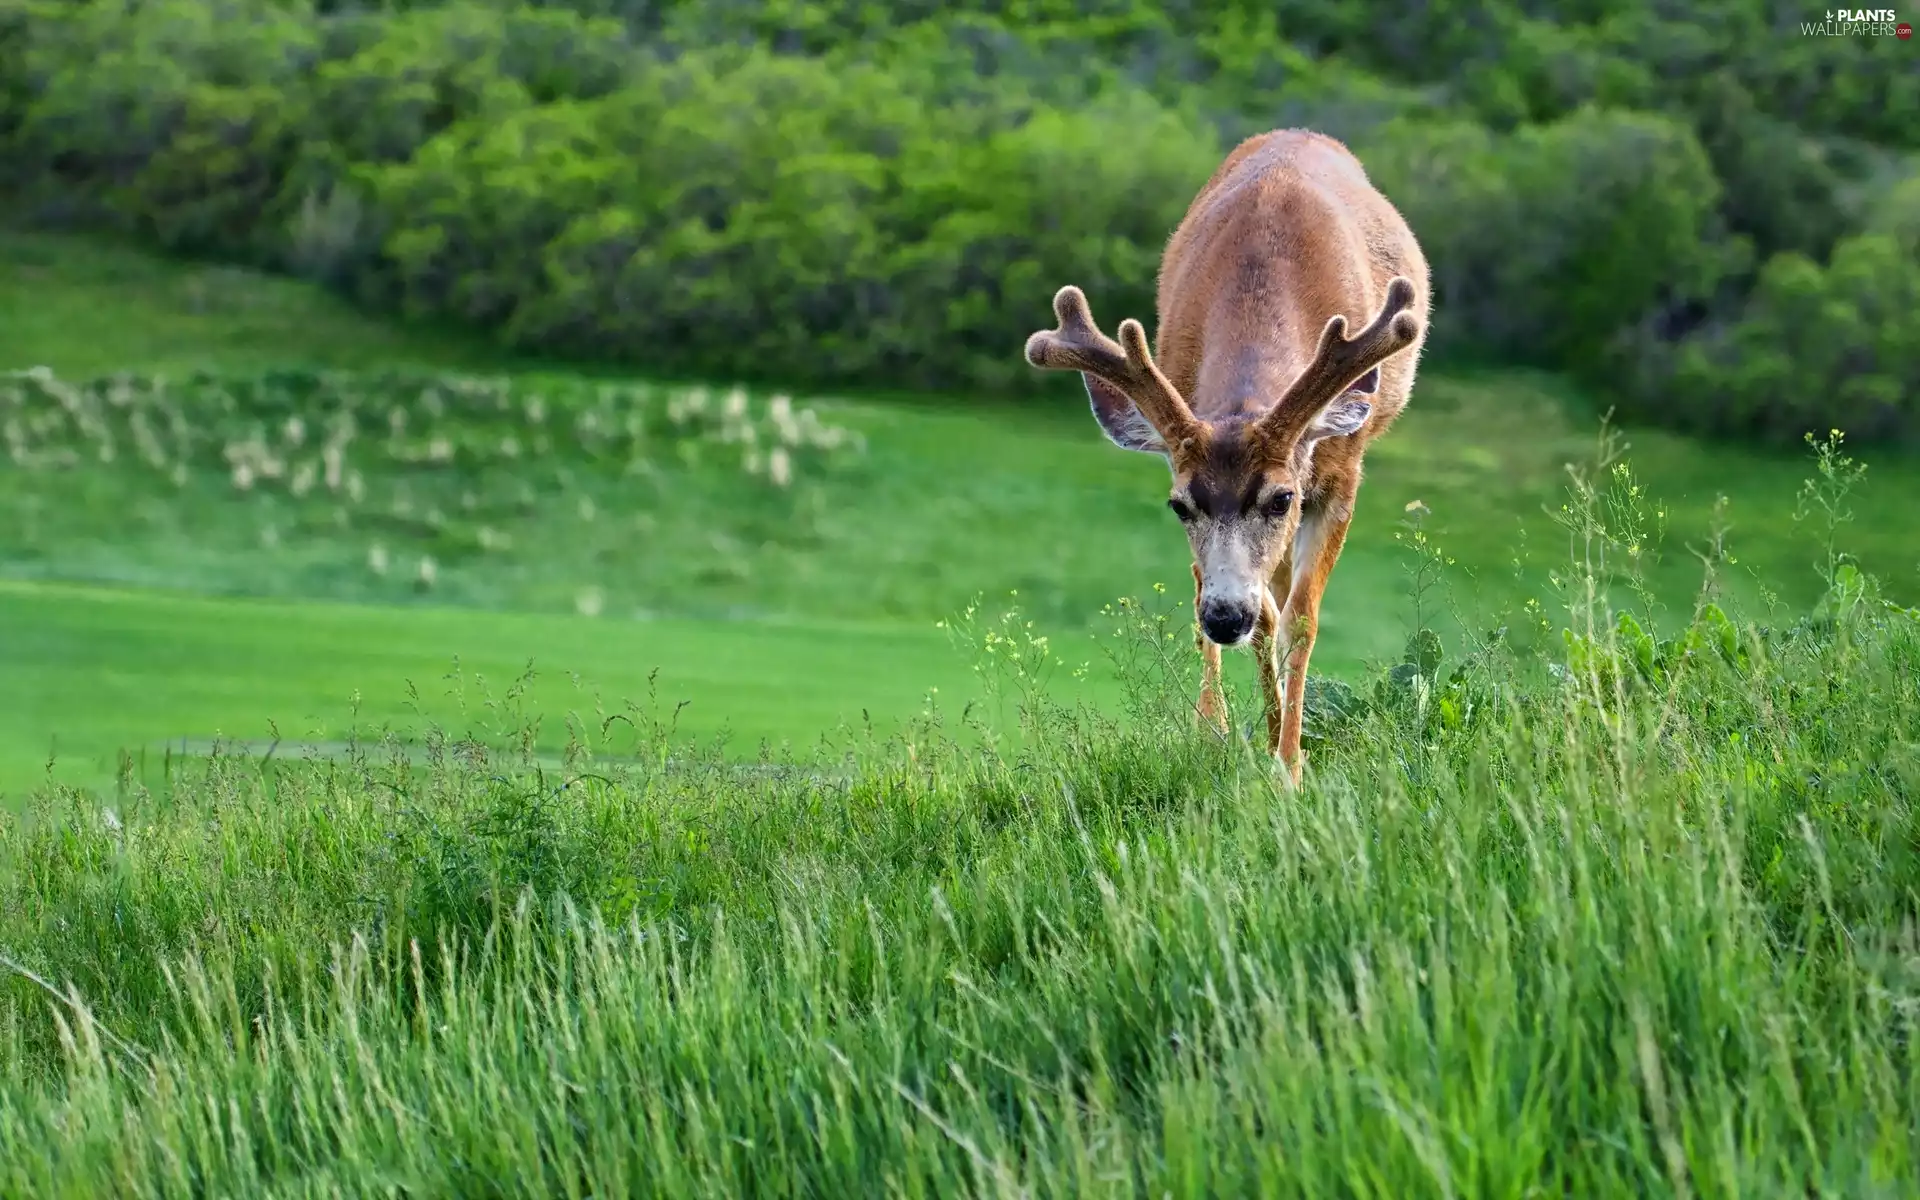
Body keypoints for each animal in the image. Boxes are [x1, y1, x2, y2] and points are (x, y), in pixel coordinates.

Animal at [1024, 129, 1430, 785]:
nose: (1224, 617)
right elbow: (1262, 613)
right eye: (1178, 506)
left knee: (1284, 599)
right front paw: (1239, 734)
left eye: (1281, 496)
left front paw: (1290, 766)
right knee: (1261, 596)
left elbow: (1302, 619)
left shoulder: (1340, 473)